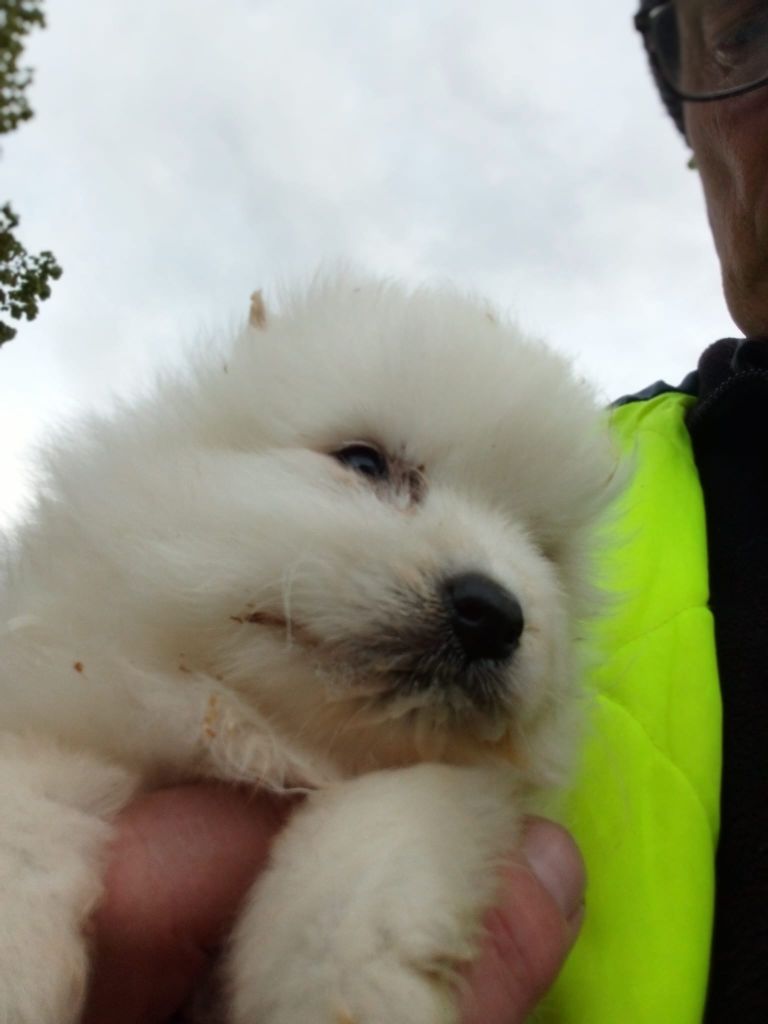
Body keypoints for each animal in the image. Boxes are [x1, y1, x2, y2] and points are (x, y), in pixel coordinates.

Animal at [0, 274, 618, 1024]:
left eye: (544, 552)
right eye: (363, 461)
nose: (493, 613)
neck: (268, 735)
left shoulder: (450, 786)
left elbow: (374, 850)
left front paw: (341, 984)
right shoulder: (71, 696)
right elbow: (24, 807)